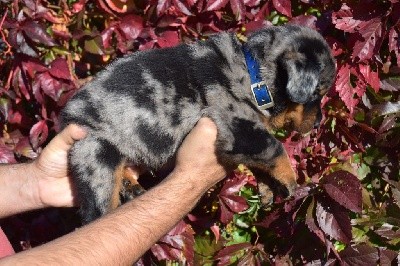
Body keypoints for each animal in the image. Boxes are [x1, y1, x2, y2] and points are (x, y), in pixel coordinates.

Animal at [61, 25, 336, 224]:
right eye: (316, 93)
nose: (318, 122)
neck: (255, 77)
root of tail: (68, 116)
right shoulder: (238, 126)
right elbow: (275, 148)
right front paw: (291, 182)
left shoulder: (247, 135)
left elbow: (260, 160)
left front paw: (269, 188)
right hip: (97, 159)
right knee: (97, 211)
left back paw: (130, 184)